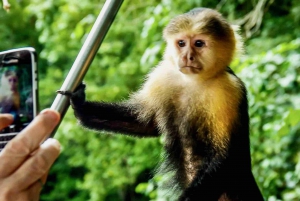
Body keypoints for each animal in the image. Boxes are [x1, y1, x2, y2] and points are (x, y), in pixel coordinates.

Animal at [59, 7, 264, 200]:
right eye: (181, 43)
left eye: (199, 43)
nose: (187, 56)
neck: (193, 82)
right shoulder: (163, 75)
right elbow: (145, 123)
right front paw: (80, 106)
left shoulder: (228, 90)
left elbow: (226, 156)